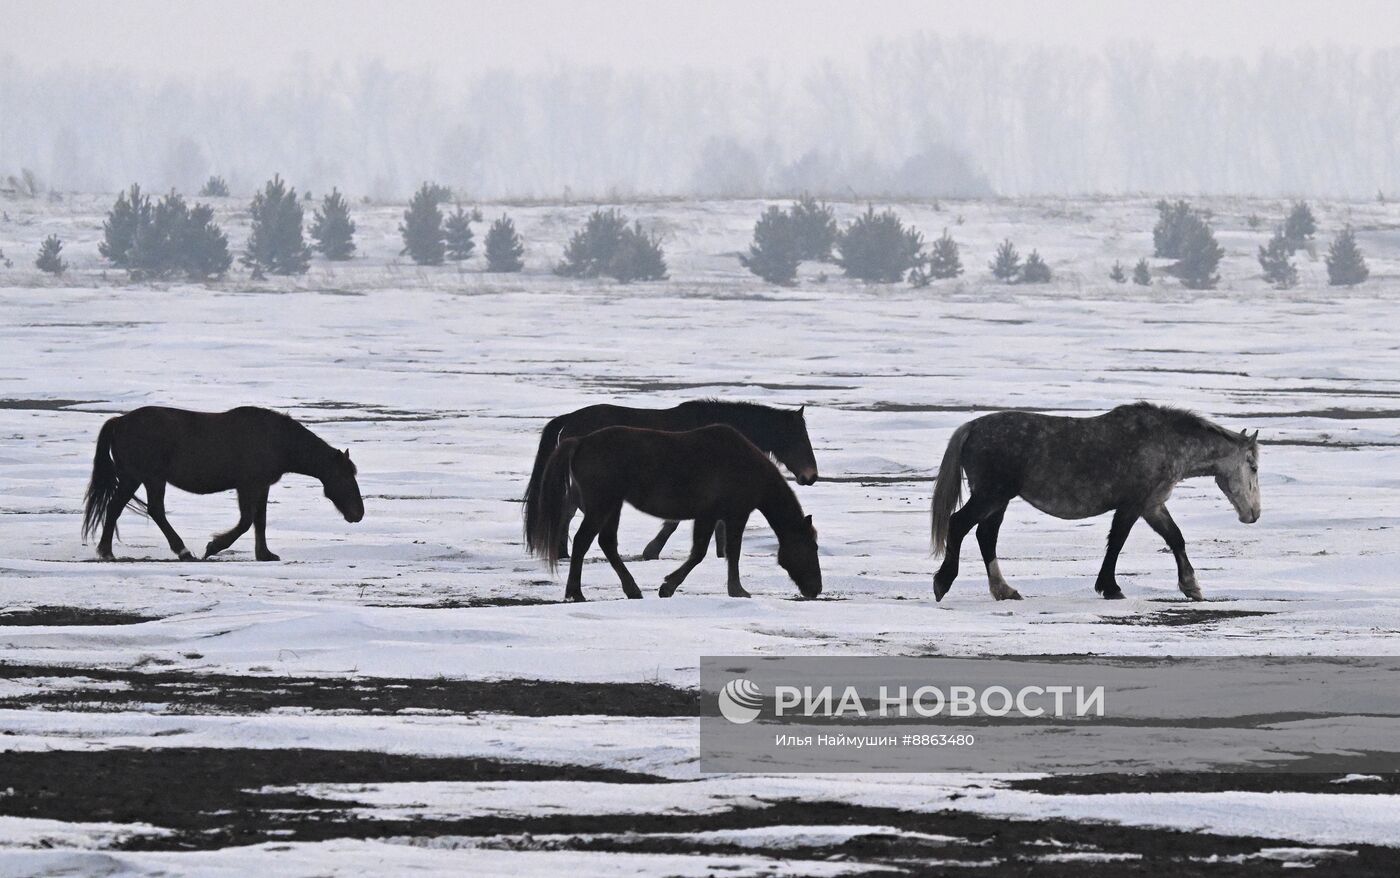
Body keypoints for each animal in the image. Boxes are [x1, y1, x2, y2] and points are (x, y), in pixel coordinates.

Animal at [82, 406, 364, 562]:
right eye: (345, 477)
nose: (358, 514)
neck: (277, 441)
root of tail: (119, 422)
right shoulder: (248, 485)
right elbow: (246, 522)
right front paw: (213, 547)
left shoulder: (262, 486)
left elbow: (259, 521)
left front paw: (265, 554)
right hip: (147, 478)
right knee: (153, 511)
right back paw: (182, 551)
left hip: (136, 478)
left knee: (116, 508)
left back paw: (107, 551)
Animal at [526, 400, 817, 560]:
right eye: (799, 438)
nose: (811, 476)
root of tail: (570, 420)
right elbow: (676, 523)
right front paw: (652, 550)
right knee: (567, 510)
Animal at [526, 422, 817, 602]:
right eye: (811, 547)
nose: (816, 588)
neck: (748, 468)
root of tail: (580, 442)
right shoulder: (731, 514)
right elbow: (718, 552)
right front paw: (734, 590)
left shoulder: (711, 516)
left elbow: (706, 552)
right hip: (601, 505)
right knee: (582, 541)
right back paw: (576, 592)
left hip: (612, 505)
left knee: (606, 543)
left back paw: (632, 589)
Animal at [929, 406, 1260, 604]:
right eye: (1253, 466)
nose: (1254, 514)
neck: (1165, 443)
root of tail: (972, 427)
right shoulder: (1133, 504)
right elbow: (1117, 542)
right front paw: (1110, 587)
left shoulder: (1152, 505)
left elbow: (1175, 538)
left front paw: (1191, 586)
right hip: (991, 495)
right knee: (959, 525)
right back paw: (943, 583)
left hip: (998, 501)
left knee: (986, 536)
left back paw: (1004, 590)